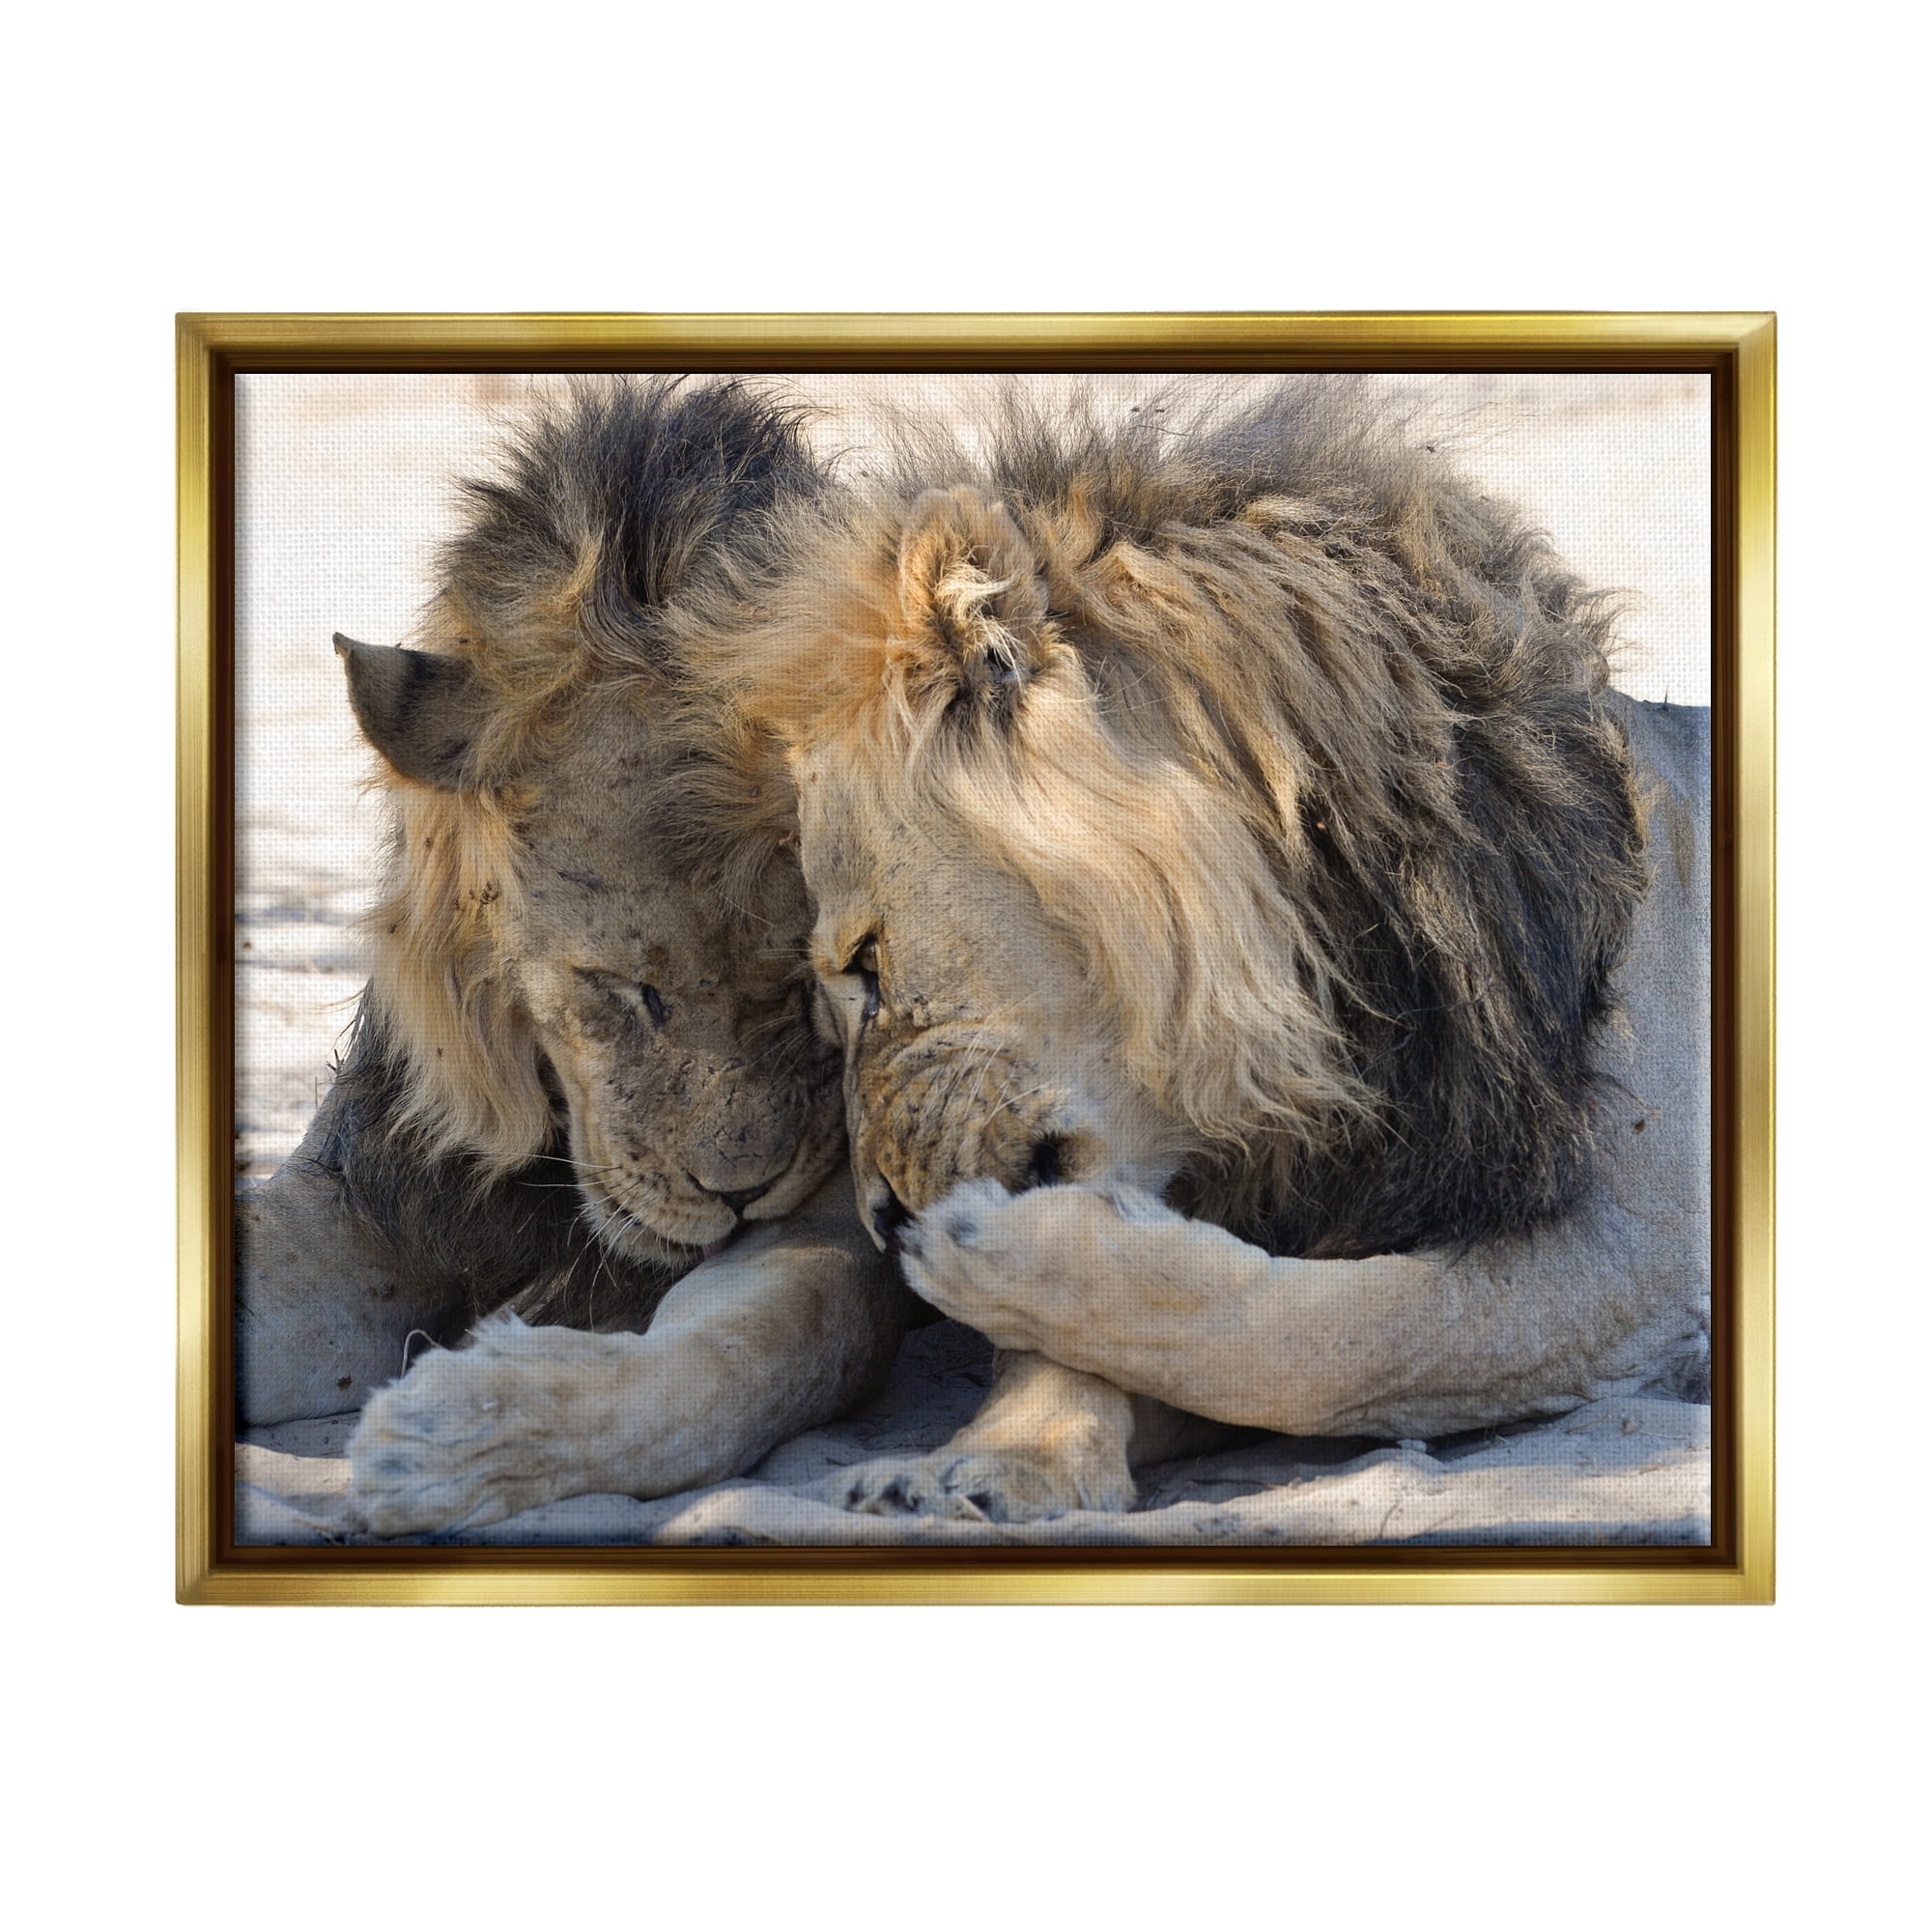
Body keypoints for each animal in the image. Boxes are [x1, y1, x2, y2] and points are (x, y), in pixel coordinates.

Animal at [235, 377, 912, 1536]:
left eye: (806, 988)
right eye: (623, 990)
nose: (741, 1191)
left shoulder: (830, 1222)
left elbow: (763, 1348)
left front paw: (462, 1436)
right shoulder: (363, 1196)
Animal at [673, 379, 1712, 1524]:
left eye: (865, 961)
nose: (880, 1219)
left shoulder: (1643, 1251)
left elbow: (1337, 1337)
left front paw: (995, 1261)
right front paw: (1004, 1455)